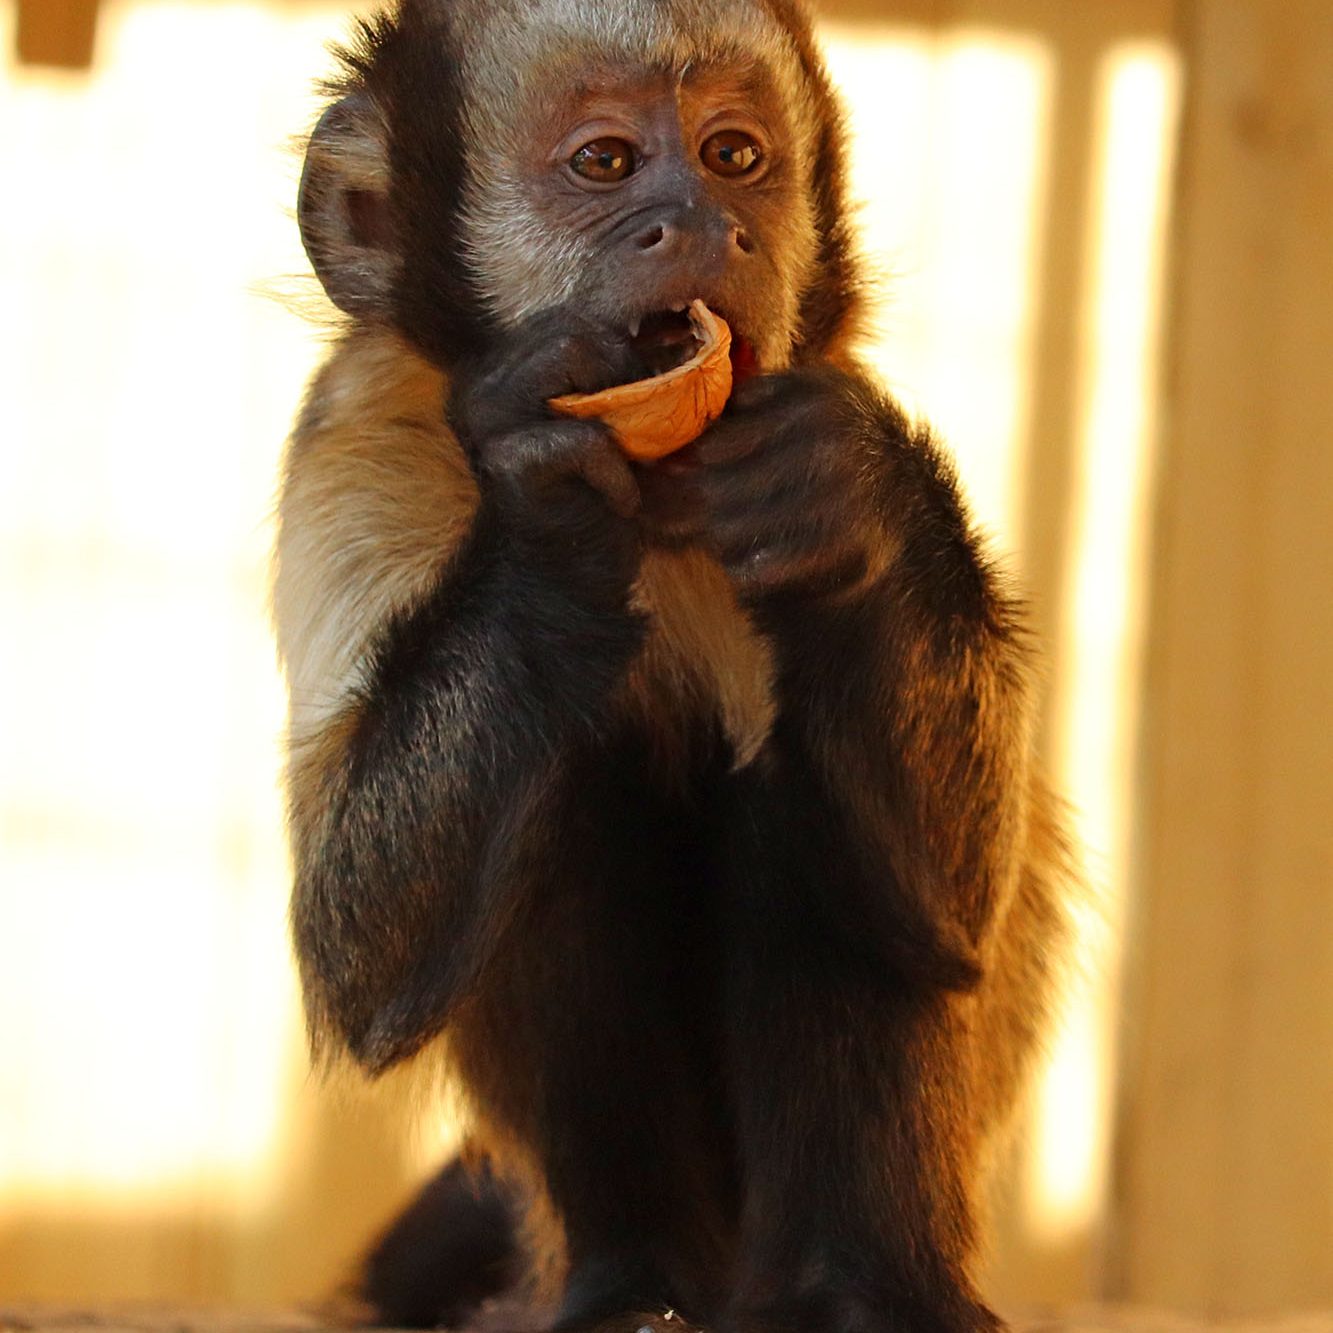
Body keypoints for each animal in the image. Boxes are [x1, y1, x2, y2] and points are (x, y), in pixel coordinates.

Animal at [273, 2, 1071, 1333]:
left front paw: (851, 500)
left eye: (732, 157)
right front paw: (547, 519)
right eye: (605, 163)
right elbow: (356, 957)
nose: (698, 222)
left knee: (813, 819)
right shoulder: (360, 435)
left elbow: (955, 909)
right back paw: (637, 1279)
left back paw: (859, 1285)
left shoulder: (816, 384)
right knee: (575, 783)